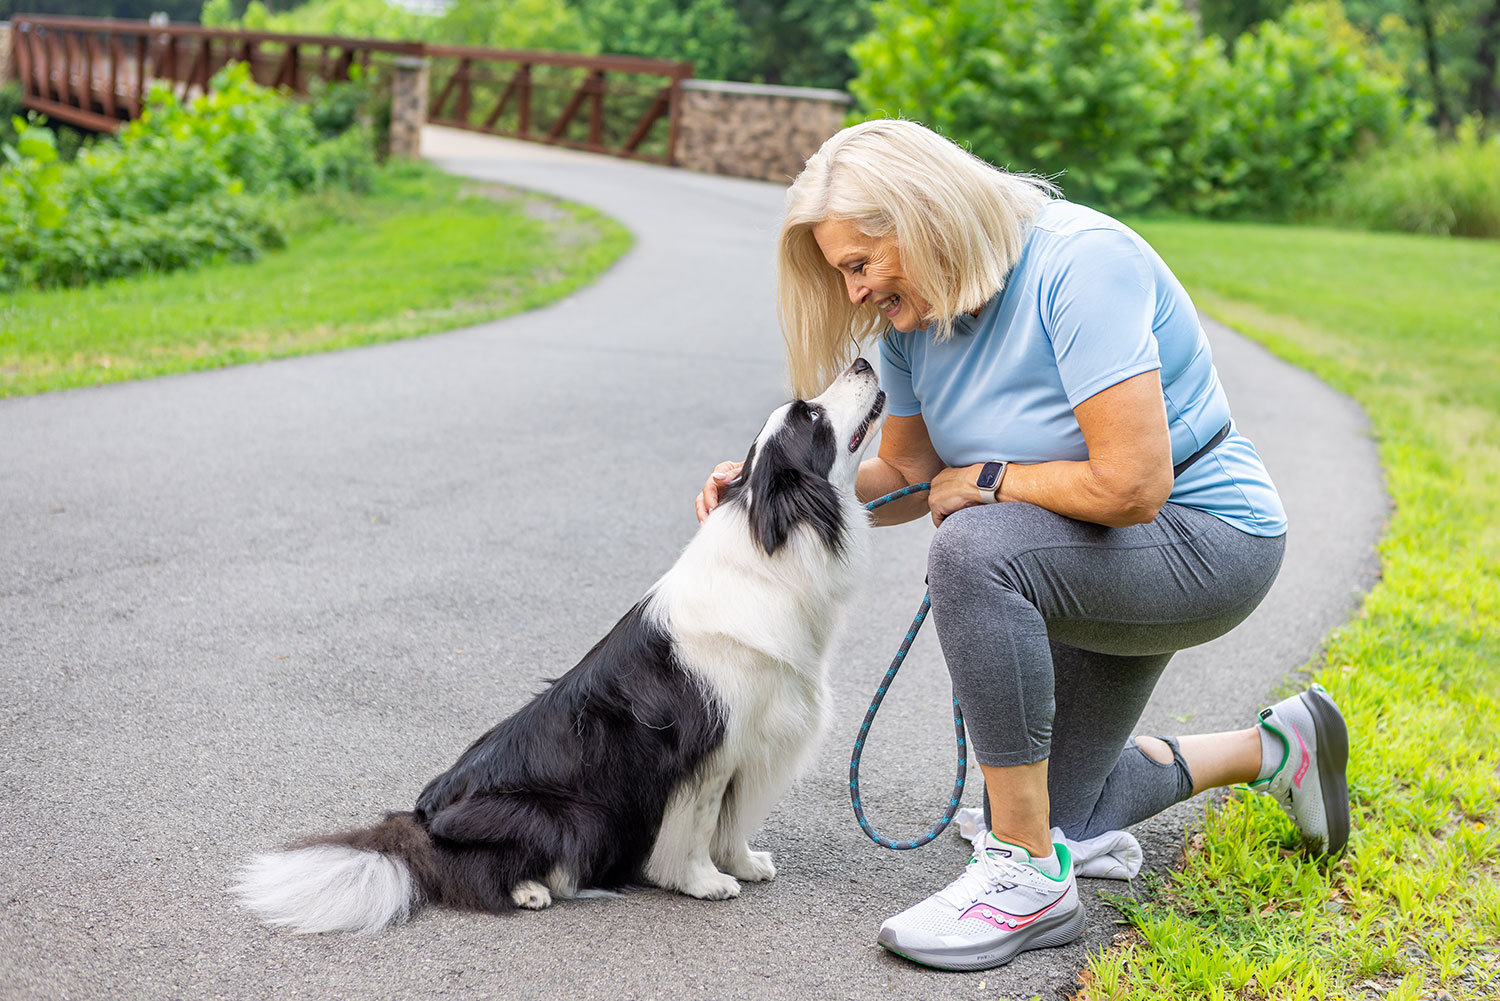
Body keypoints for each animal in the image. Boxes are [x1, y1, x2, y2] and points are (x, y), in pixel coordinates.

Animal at [232, 360, 882, 930]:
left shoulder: (753, 742)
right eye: (811, 417)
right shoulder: (708, 749)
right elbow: (701, 823)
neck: (773, 534)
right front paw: (704, 882)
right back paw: (531, 889)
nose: (863, 361)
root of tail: (423, 817)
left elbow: (733, 820)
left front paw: (744, 864)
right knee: (475, 871)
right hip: (567, 815)